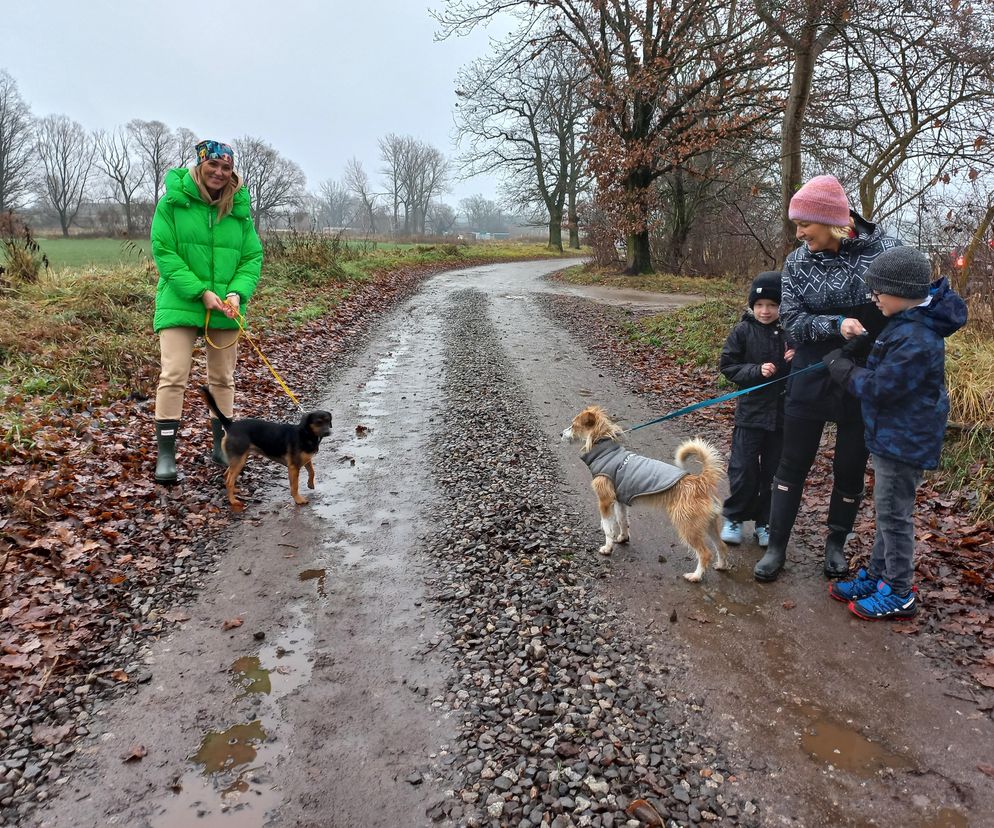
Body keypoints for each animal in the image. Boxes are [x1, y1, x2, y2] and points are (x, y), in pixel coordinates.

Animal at [199, 386, 334, 512]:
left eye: (328, 421)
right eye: (318, 422)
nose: (328, 432)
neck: (306, 434)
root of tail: (230, 425)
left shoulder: (306, 460)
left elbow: (312, 471)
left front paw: (310, 484)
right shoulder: (293, 467)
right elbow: (294, 486)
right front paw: (298, 499)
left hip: (239, 459)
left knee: (227, 474)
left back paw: (235, 490)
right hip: (239, 460)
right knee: (229, 481)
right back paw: (233, 501)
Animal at [560, 408, 728, 584]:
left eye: (573, 425)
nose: (560, 434)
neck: (604, 449)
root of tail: (701, 481)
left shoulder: (605, 501)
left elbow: (607, 526)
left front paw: (607, 547)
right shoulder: (619, 501)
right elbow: (622, 521)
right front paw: (622, 538)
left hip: (688, 526)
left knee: (705, 553)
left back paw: (696, 576)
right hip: (708, 524)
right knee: (721, 546)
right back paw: (721, 565)